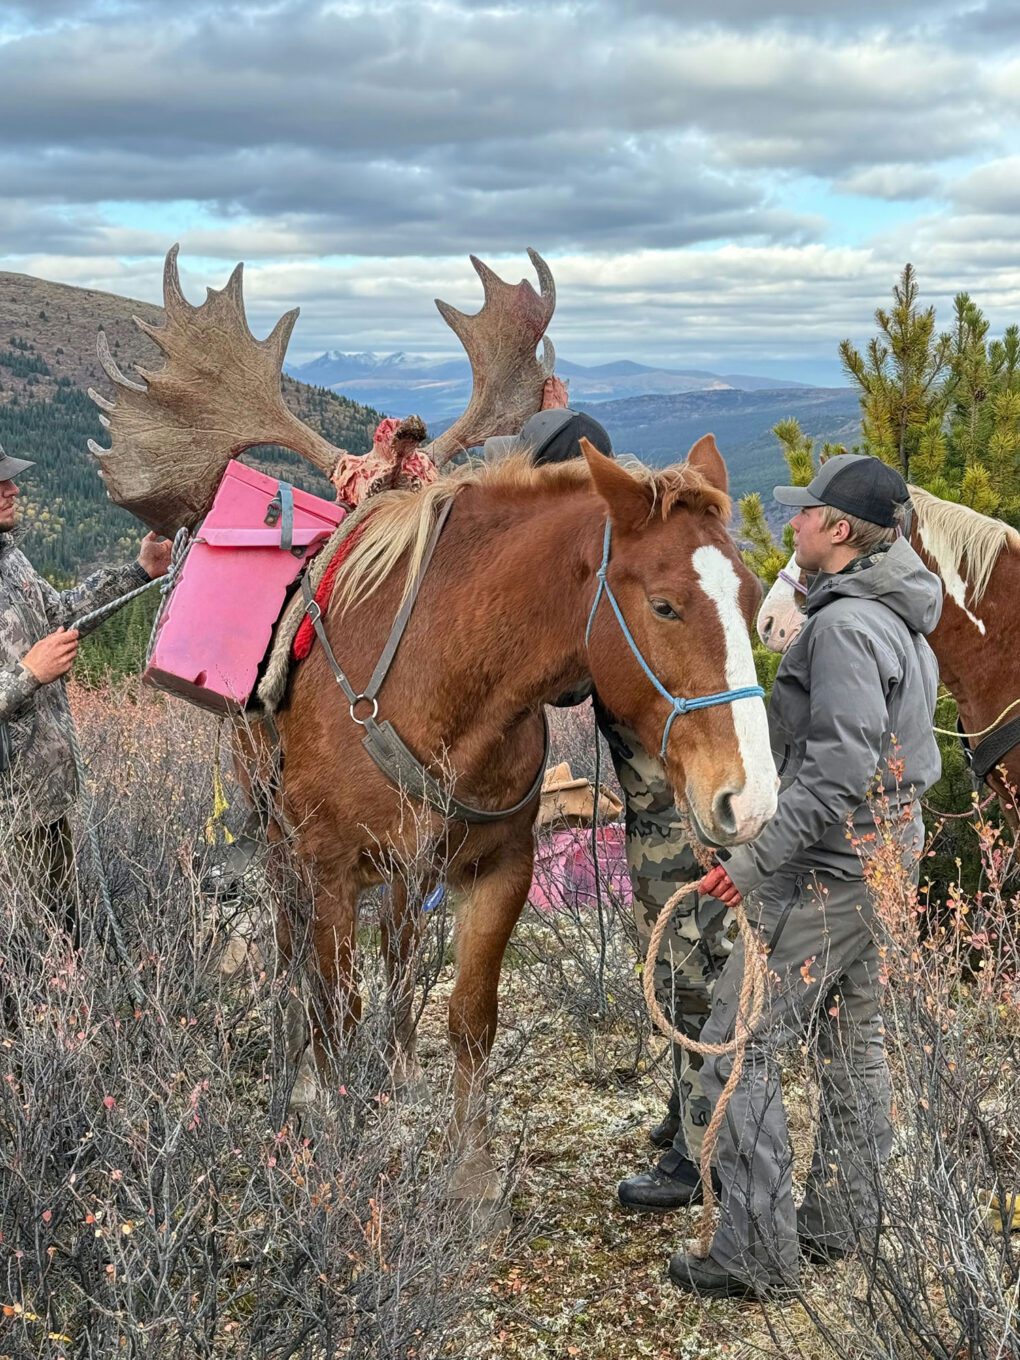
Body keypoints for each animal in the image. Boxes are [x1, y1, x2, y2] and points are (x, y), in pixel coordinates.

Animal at [262, 437, 778, 1211]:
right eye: (664, 606)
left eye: (750, 596)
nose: (752, 800)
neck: (436, 679)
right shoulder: (330, 869)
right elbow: (336, 1010)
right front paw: (335, 1139)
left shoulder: (500, 867)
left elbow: (472, 1018)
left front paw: (470, 1175)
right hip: (280, 842)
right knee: (296, 954)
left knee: (402, 951)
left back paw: (399, 1072)